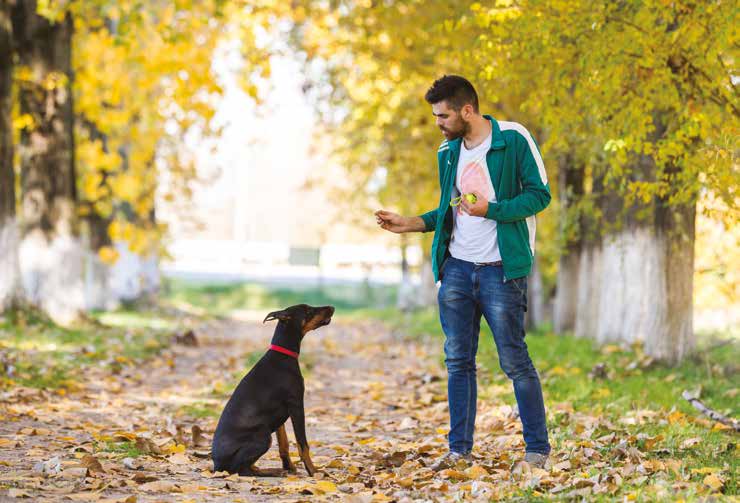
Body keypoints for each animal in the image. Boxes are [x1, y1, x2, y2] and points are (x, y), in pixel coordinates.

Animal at [210, 304, 334, 476]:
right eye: (308, 311)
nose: (332, 307)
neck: (283, 355)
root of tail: (217, 466)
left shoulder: (281, 414)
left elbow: (284, 444)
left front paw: (289, 467)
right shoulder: (296, 405)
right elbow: (303, 444)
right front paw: (313, 471)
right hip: (263, 435)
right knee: (241, 470)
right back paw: (271, 472)